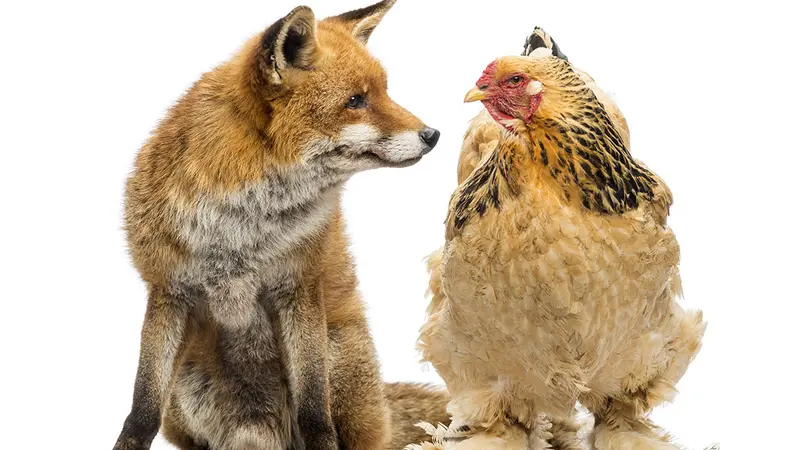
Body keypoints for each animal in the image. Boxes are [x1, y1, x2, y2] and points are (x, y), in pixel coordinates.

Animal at [111, 1, 452, 449]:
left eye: (384, 92)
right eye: (356, 100)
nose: (433, 134)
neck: (241, 230)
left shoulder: (299, 288)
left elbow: (314, 411)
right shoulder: (167, 290)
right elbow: (142, 407)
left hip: (339, 355)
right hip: (185, 390)